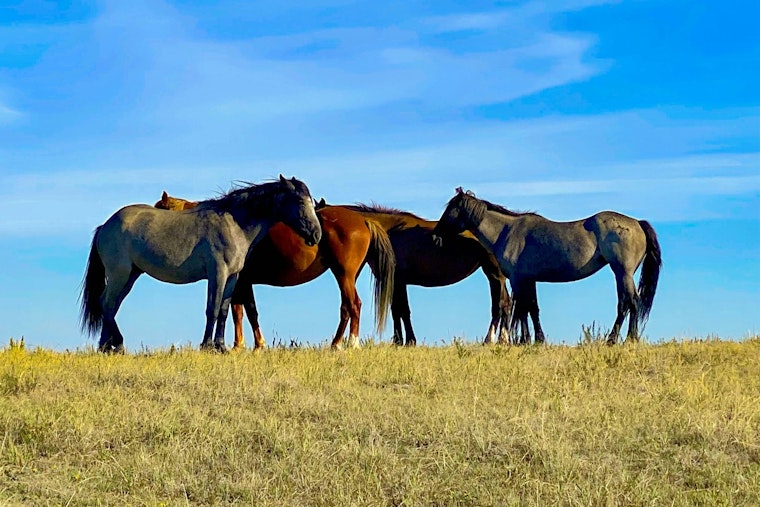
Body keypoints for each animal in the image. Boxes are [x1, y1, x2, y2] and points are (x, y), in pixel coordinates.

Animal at [80, 176, 322, 354]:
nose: (316, 235)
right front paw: (207, 346)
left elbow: (223, 310)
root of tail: (105, 225)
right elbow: (212, 309)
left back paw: (106, 346)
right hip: (120, 274)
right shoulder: (218, 273)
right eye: (300, 201)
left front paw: (221, 346)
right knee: (107, 303)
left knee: (110, 305)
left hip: (131, 275)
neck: (234, 224)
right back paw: (117, 344)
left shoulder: (232, 277)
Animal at [155, 193, 396, 350]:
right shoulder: (241, 282)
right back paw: (338, 343)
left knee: (352, 305)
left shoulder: (240, 281)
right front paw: (245, 345)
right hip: (347, 276)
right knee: (348, 306)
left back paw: (346, 344)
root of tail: (363, 220)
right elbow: (242, 311)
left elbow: (245, 311)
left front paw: (248, 346)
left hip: (343, 274)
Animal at [341, 204, 511, 346]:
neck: (388, 231)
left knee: (500, 304)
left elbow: (402, 310)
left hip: (494, 275)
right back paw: (504, 340)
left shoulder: (398, 281)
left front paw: (406, 341)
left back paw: (490, 340)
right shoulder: (397, 283)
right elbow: (397, 310)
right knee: (507, 304)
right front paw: (400, 341)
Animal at [432, 188, 662, 345]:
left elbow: (523, 308)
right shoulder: (529, 280)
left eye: (451, 209)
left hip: (622, 272)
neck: (506, 231)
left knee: (629, 302)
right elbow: (532, 308)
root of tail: (637, 223)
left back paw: (620, 339)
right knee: (629, 303)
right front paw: (536, 339)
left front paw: (526, 340)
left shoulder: (518, 279)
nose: (435, 235)